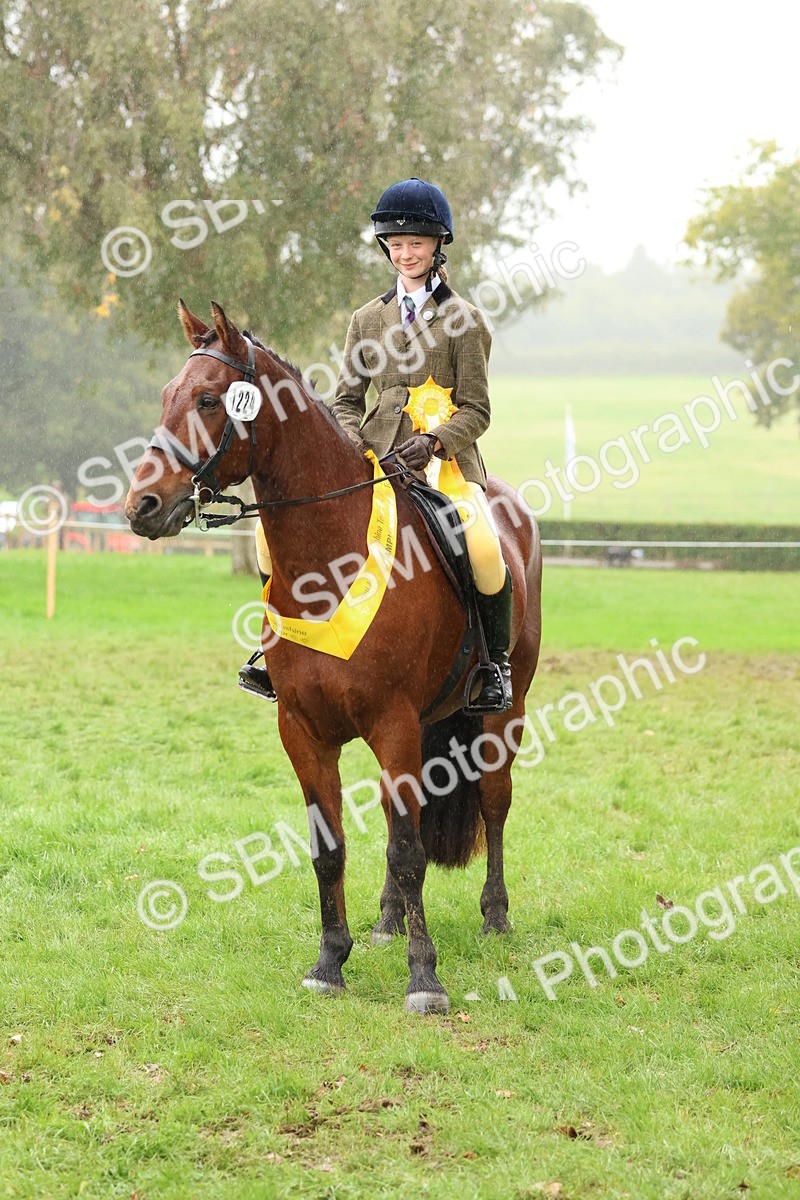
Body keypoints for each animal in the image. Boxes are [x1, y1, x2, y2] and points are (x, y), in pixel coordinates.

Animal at [125, 300, 542, 1014]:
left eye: (208, 399)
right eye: (165, 396)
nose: (142, 507)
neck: (330, 556)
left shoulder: (393, 725)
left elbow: (407, 852)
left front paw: (424, 979)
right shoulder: (304, 730)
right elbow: (332, 848)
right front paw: (330, 961)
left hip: (500, 712)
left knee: (492, 801)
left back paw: (494, 916)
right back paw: (387, 922)